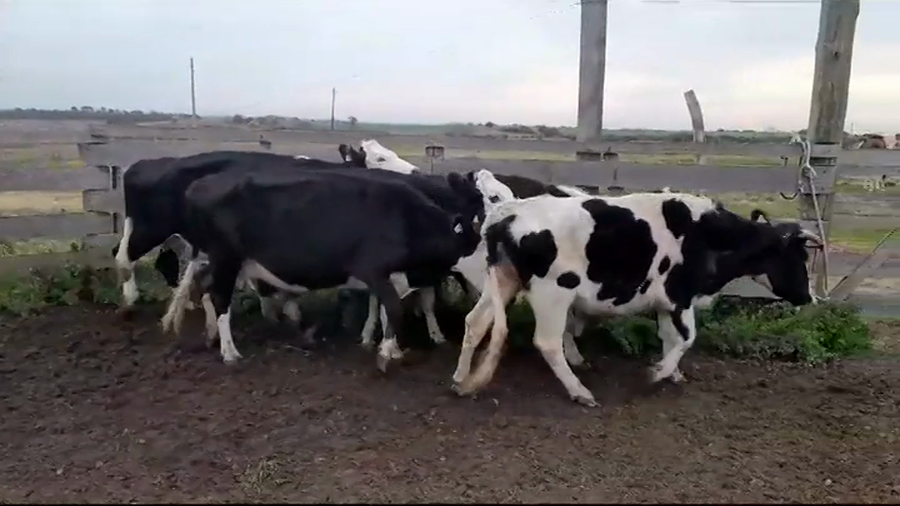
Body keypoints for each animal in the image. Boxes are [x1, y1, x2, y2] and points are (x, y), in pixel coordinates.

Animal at [162, 165, 484, 368]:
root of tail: (199, 184)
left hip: (224, 261)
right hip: (225, 257)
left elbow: (384, 310)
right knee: (219, 298)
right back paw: (230, 352)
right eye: (484, 249)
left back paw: (211, 336)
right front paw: (385, 354)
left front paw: (389, 349)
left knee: (205, 288)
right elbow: (393, 309)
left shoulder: (391, 276)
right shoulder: (373, 269)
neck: (408, 220)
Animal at [449, 192, 823, 406]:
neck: (707, 233)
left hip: (502, 282)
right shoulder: (679, 295)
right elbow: (687, 338)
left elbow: (670, 338)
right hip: (552, 293)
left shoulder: (667, 303)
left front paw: (672, 373)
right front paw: (657, 374)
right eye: (799, 257)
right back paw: (580, 392)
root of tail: (507, 214)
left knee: (475, 323)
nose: (809, 297)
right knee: (548, 343)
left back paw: (460, 380)